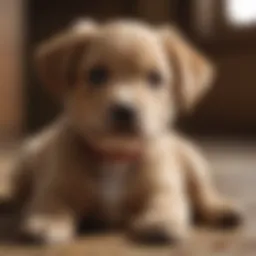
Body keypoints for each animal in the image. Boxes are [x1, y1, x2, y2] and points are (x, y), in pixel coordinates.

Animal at [5, 19, 242, 244]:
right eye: (96, 75)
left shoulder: (164, 188)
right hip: (26, 159)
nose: (124, 110)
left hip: (193, 160)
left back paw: (222, 209)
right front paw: (46, 220)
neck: (116, 157)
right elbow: (50, 203)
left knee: (203, 191)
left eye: (155, 78)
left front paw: (161, 220)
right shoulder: (54, 186)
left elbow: (167, 202)